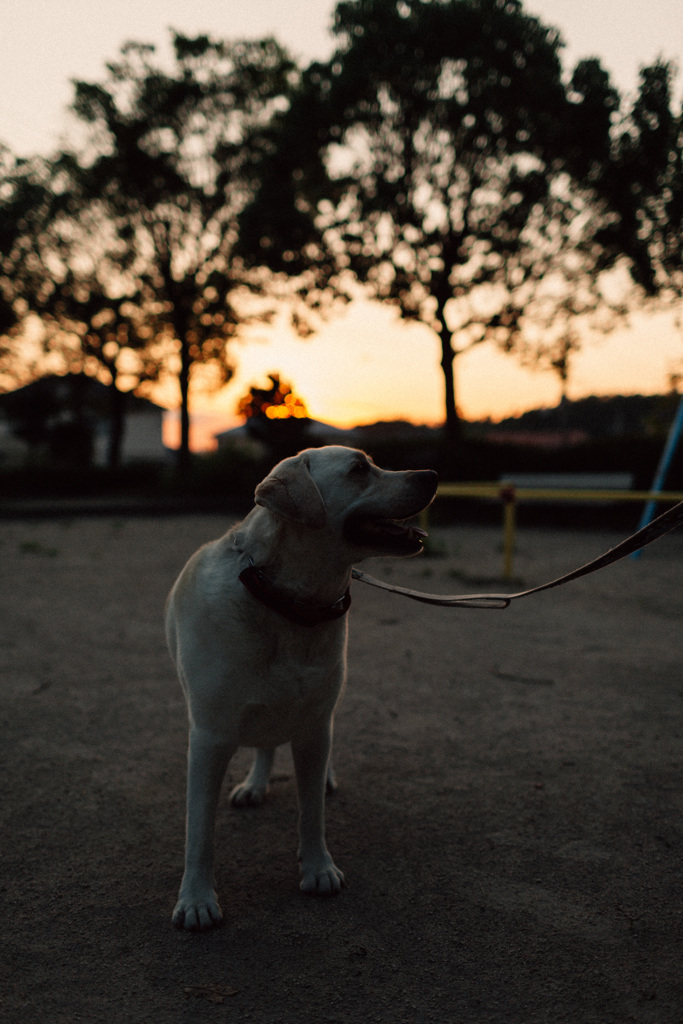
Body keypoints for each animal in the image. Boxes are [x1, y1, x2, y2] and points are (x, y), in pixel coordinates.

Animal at [165, 446, 438, 929]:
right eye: (359, 469)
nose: (433, 474)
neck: (288, 605)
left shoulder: (313, 726)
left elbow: (312, 812)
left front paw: (317, 869)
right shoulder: (210, 738)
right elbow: (199, 830)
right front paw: (196, 898)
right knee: (265, 743)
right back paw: (255, 784)